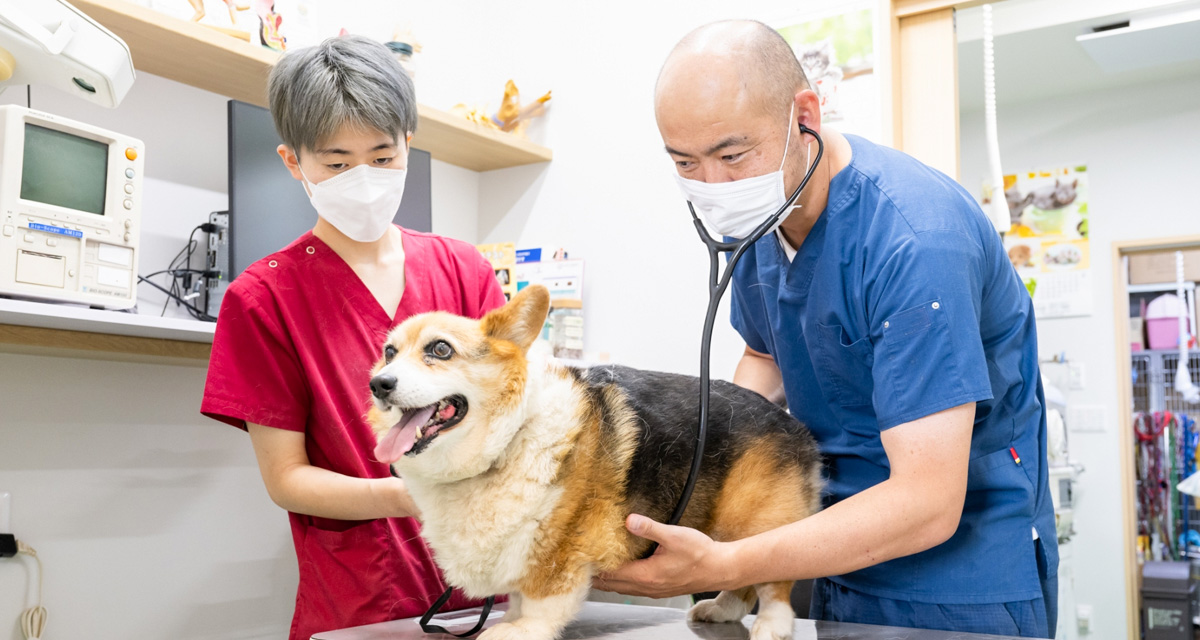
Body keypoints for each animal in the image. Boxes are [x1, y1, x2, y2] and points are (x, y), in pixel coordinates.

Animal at [369, 285, 820, 638]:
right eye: (389, 353)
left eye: (440, 349)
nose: (379, 384)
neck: (508, 439)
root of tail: (796, 425)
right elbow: (518, 593)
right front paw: (512, 616)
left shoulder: (561, 540)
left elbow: (544, 596)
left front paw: (522, 629)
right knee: (741, 574)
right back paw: (721, 609)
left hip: (758, 520)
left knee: (769, 577)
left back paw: (772, 624)